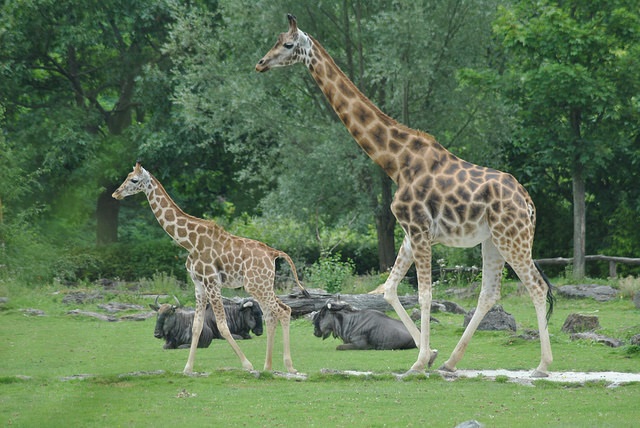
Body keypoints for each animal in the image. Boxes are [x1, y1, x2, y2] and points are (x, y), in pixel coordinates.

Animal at [112, 161, 309, 374]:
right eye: (128, 176)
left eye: (134, 180)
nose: (116, 193)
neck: (189, 242)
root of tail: (273, 253)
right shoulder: (198, 284)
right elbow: (196, 326)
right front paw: (188, 368)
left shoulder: (212, 282)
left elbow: (223, 325)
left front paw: (247, 365)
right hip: (262, 285)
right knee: (272, 315)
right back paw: (268, 367)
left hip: (256, 285)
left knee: (284, 311)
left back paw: (290, 367)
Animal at [256, 14, 554, 377]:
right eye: (275, 41)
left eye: (287, 44)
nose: (260, 63)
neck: (395, 162)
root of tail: (528, 202)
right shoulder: (411, 234)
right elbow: (389, 290)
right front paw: (431, 355)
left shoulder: (420, 230)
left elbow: (424, 294)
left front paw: (418, 362)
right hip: (492, 240)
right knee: (489, 293)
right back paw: (452, 362)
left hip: (513, 237)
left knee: (536, 286)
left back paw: (542, 365)